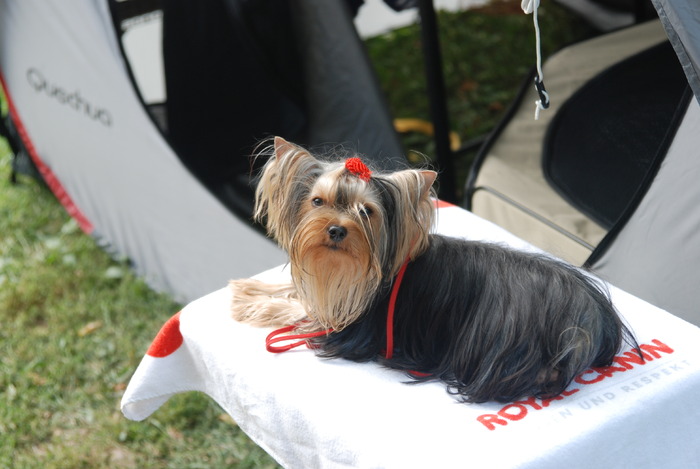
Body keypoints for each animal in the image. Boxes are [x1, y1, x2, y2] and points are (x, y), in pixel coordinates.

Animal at [231, 136, 640, 402]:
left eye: (367, 211)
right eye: (318, 201)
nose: (335, 230)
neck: (349, 269)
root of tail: (597, 315)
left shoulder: (350, 324)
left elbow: (303, 312)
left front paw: (255, 303)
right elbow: (296, 295)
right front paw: (249, 290)